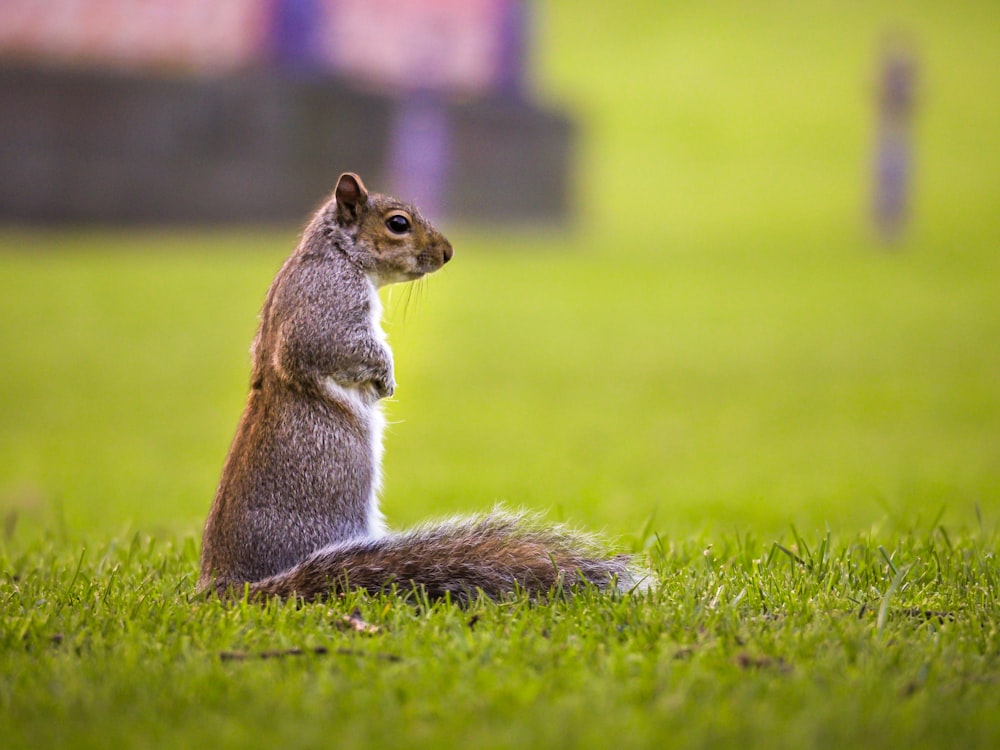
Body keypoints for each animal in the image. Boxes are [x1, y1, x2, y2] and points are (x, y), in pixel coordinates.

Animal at [199, 173, 640, 604]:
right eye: (398, 223)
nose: (448, 252)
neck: (338, 253)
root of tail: (232, 586)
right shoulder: (329, 303)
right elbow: (339, 345)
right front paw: (386, 378)